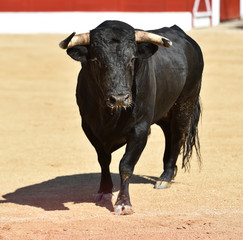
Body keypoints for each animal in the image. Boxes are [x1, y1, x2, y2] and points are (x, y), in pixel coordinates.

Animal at [60, 21, 203, 216]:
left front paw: (123, 203)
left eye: (132, 59)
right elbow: (103, 160)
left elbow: (125, 165)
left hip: (185, 104)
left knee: (178, 137)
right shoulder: (89, 128)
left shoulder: (140, 130)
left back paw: (165, 178)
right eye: (96, 61)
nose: (120, 98)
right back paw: (169, 172)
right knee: (169, 135)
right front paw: (105, 191)